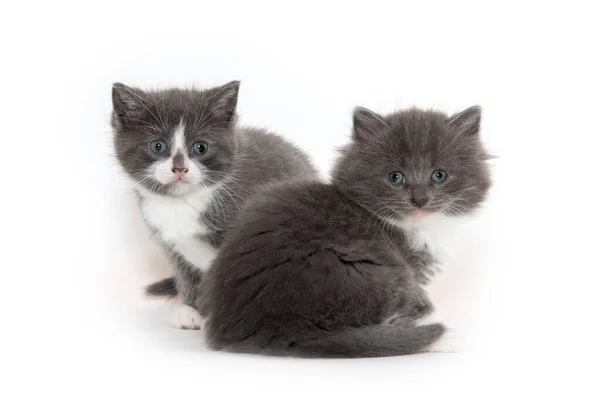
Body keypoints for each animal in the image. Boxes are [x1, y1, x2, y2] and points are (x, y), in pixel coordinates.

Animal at [112, 81, 318, 330]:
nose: (179, 168)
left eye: (200, 147)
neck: (182, 202)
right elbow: (186, 276)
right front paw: (191, 309)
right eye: (158, 146)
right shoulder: (171, 245)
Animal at [199, 105, 490, 358]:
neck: (416, 227)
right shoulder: (410, 272)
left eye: (439, 175)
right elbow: (420, 304)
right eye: (396, 177)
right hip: (368, 272)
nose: (419, 200)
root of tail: (262, 326)